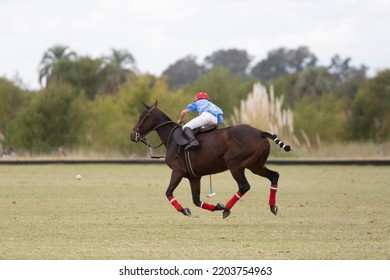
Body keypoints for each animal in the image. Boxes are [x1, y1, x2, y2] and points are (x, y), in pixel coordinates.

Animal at [129, 100, 290, 219]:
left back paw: (227, 209)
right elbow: (196, 200)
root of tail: (259, 132)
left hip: (235, 165)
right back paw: (272, 206)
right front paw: (216, 206)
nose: (133, 135)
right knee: (274, 176)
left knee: (244, 186)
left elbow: (169, 193)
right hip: (255, 165)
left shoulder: (177, 171)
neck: (172, 139)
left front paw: (185, 210)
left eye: (141, 116)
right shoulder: (194, 177)